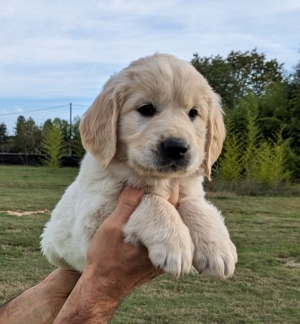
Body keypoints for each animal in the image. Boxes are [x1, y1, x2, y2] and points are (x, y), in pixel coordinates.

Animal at [40, 53, 237, 278]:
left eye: (193, 113)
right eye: (146, 109)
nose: (176, 147)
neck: (158, 179)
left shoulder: (189, 189)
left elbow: (194, 203)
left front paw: (217, 247)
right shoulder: (93, 218)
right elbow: (150, 199)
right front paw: (174, 243)